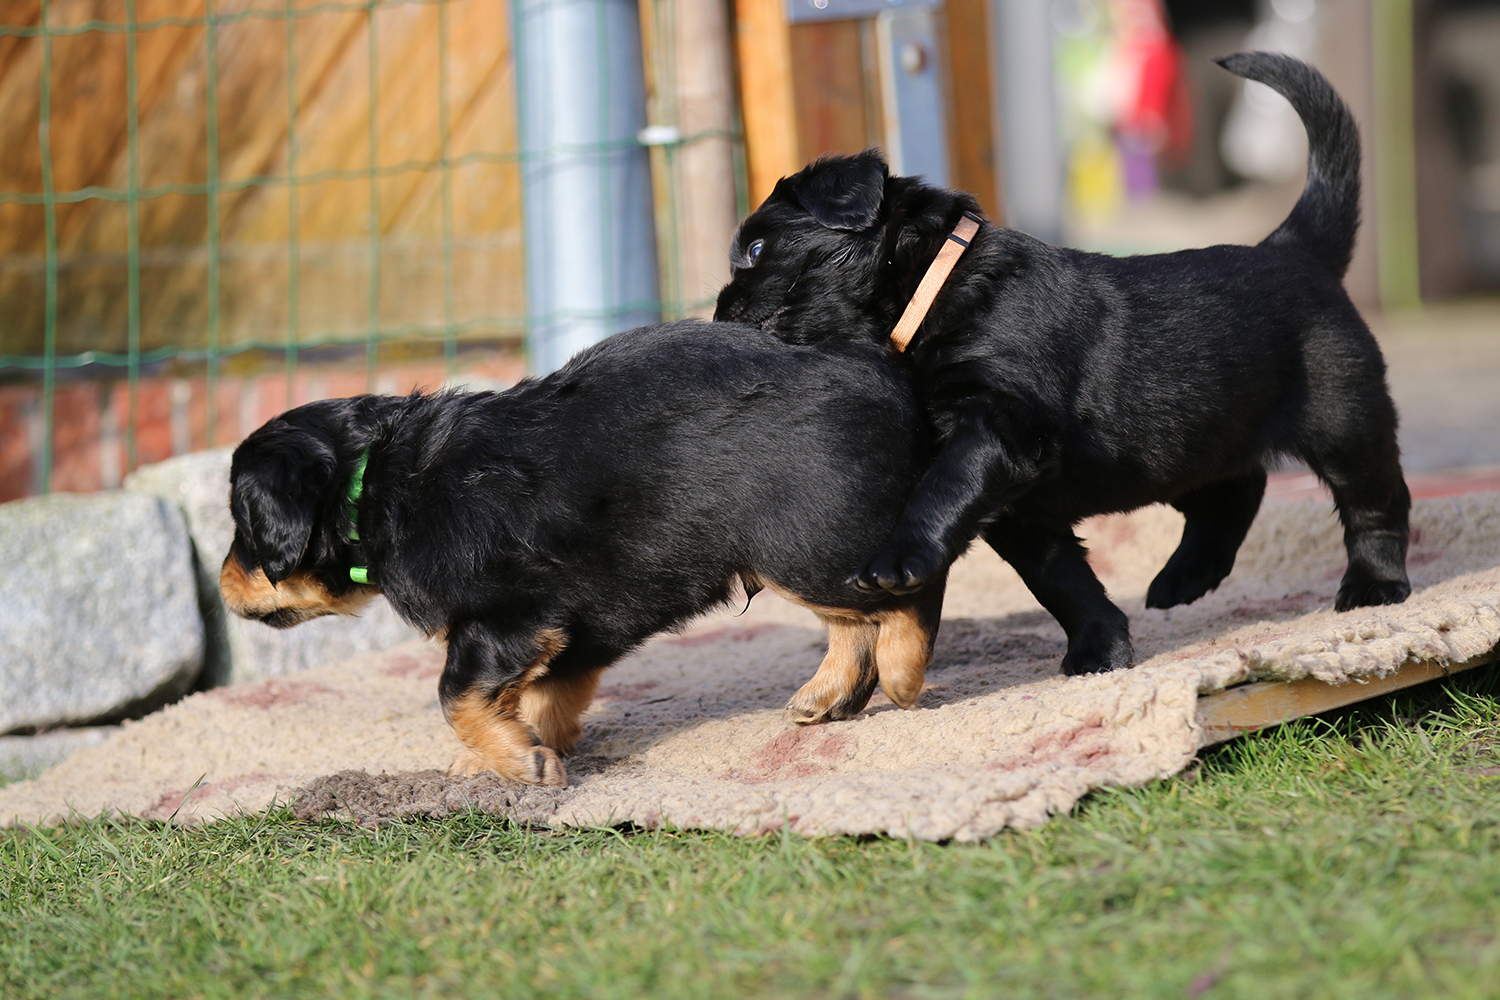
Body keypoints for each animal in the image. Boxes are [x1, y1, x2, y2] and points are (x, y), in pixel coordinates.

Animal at [219, 320, 946, 785]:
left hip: (801, 540)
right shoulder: (573, 624)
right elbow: (542, 694)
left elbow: (456, 693)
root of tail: (880, 369)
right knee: (853, 622)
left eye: (242, 526)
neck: (376, 481)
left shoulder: (507, 616)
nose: (223, 583)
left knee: (905, 588)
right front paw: (508, 756)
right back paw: (827, 696)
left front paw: (518, 763)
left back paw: (902, 673)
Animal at [714, 52, 1411, 675]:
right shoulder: (1019, 507)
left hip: (1343, 414)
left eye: (755, 249)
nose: (718, 313)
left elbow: (940, 489)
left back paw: (1374, 587)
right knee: (1236, 486)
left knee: (1375, 499)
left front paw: (898, 558)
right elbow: (1059, 581)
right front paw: (1100, 650)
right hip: (1189, 435)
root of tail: (1296, 248)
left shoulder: (998, 426)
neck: (936, 285)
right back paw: (1186, 576)